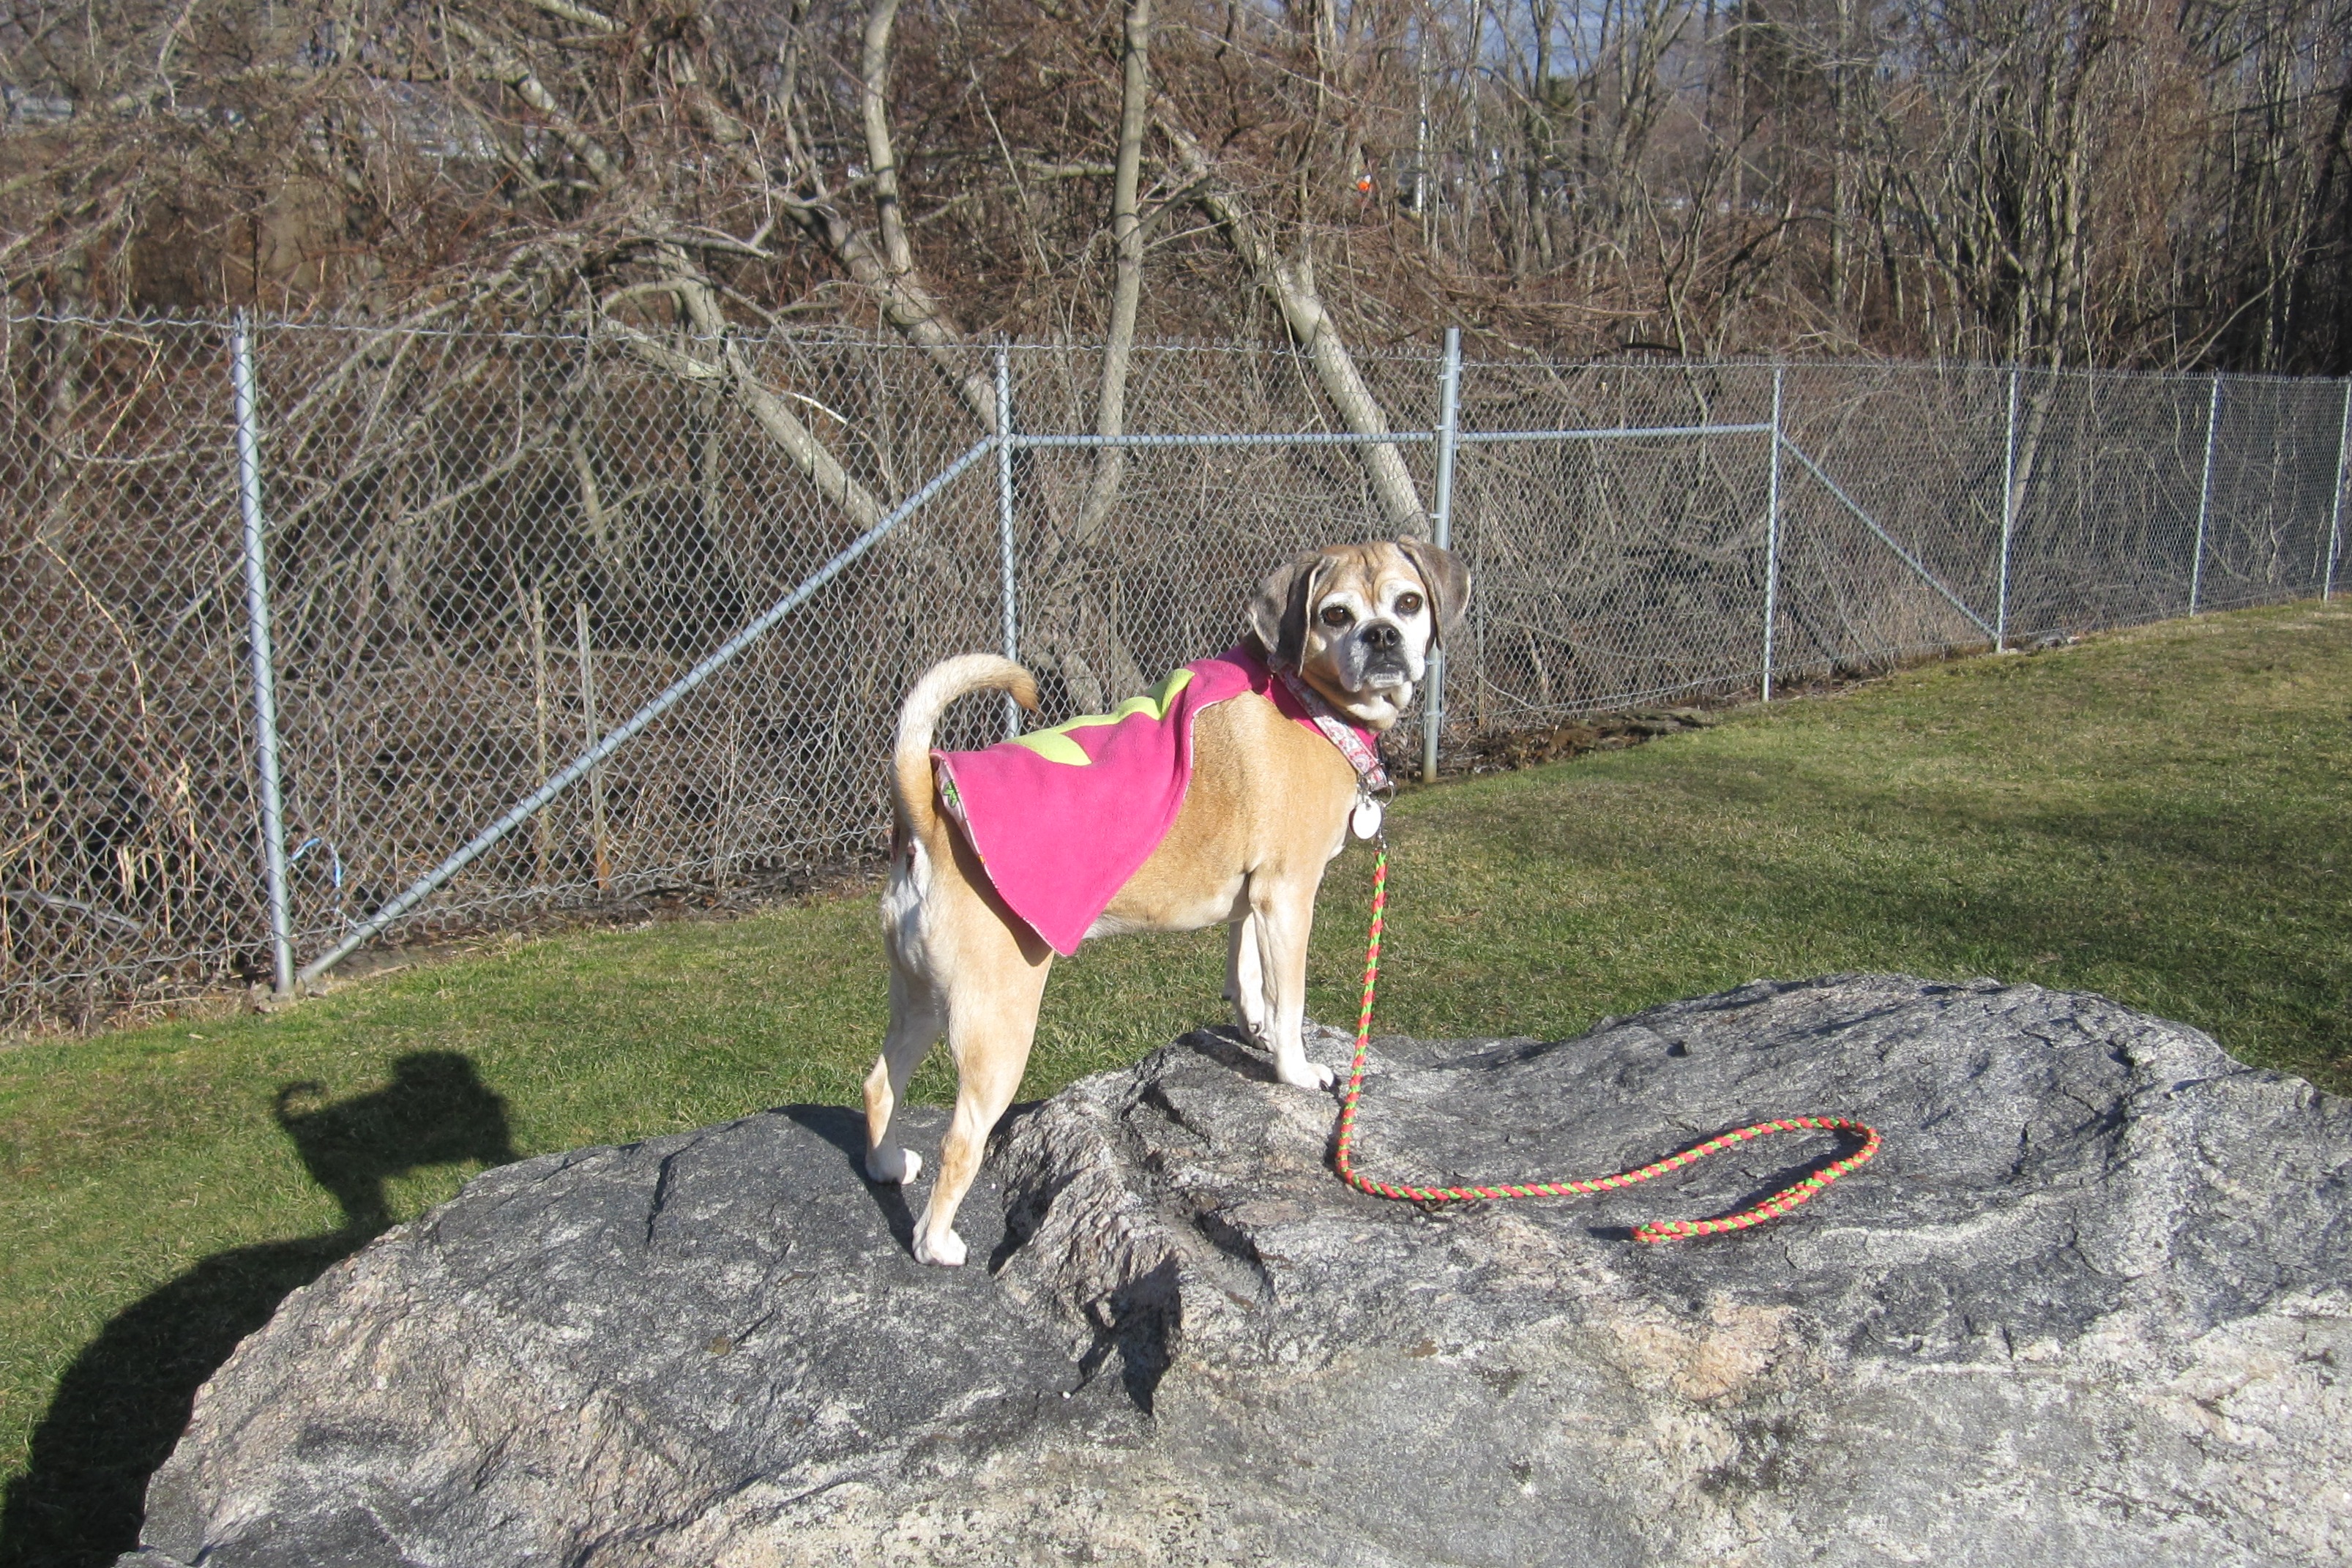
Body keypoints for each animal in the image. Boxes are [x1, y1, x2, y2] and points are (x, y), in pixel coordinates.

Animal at [865, 539, 1468, 1265]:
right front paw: (1295, 1070)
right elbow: (1290, 1000)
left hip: (921, 997)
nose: (1381, 637)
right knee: (960, 1141)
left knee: (879, 1084)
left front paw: (1253, 1028)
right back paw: (937, 1243)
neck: (1308, 695)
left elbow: (1247, 975)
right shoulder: (1289, 896)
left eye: (1407, 602)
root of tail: (927, 815)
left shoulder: (1255, 902)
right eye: (1335, 614)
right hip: (995, 1025)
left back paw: (886, 1163)